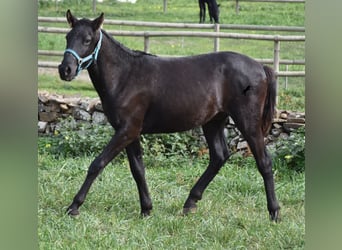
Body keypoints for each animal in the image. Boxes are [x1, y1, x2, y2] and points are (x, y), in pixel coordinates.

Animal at [58, 9, 280, 222]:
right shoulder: (130, 132)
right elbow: (138, 169)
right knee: (219, 156)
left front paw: (74, 207)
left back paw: (274, 213)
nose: (65, 70)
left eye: (87, 39)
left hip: (248, 122)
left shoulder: (127, 131)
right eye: (67, 36)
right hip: (213, 122)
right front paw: (146, 209)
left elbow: (97, 164)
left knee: (264, 162)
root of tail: (261, 67)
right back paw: (190, 203)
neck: (125, 76)